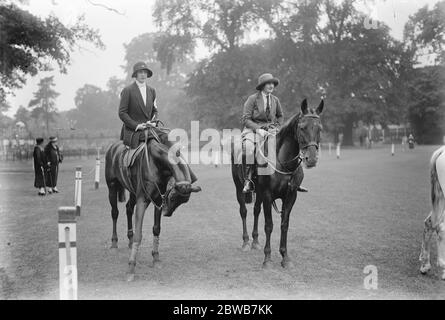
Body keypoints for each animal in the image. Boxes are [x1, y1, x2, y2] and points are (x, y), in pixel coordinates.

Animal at [106, 129, 199, 282]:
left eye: (182, 202)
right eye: (172, 197)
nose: (167, 213)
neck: (157, 162)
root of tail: (112, 147)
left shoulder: (157, 201)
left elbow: (156, 229)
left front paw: (155, 258)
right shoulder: (142, 200)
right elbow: (139, 234)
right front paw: (131, 267)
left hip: (132, 192)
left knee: (128, 209)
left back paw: (129, 240)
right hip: (112, 188)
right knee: (115, 213)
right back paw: (114, 243)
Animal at [232, 98, 322, 268]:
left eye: (320, 128)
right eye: (302, 127)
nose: (311, 159)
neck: (283, 161)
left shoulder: (290, 196)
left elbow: (284, 225)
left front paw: (285, 257)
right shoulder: (268, 195)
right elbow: (269, 225)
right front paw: (267, 258)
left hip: (259, 194)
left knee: (256, 211)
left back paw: (255, 241)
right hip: (239, 188)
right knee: (243, 211)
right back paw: (246, 242)